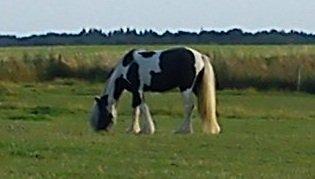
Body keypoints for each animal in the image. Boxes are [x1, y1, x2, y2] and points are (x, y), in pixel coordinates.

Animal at [90, 46, 221, 134]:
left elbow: (142, 107)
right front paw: (134, 129)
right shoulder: (137, 91)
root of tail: (200, 56)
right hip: (195, 88)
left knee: (189, 106)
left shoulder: (137, 90)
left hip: (186, 88)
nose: (99, 129)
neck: (127, 67)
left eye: (101, 111)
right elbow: (136, 109)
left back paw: (183, 130)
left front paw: (147, 129)